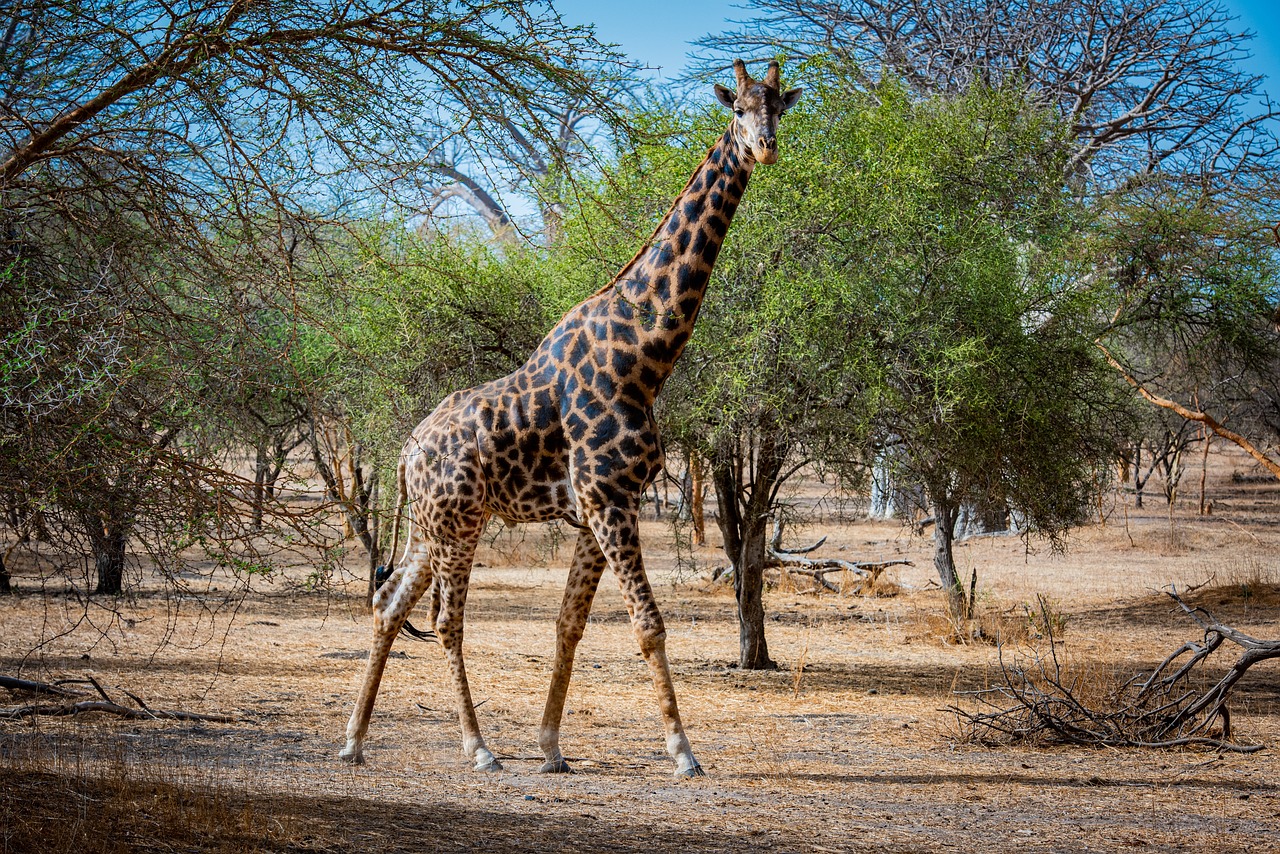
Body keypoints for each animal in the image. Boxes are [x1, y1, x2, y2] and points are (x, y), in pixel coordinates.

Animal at [340, 61, 798, 783]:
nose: (766, 147)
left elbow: (569, 625)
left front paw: (552, 745)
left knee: (390, 606)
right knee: (446, 621)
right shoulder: (609, 500)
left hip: (425, 524)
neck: (643, 355)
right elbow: (648, 625)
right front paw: (683, 752)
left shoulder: (598, 510)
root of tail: (408, 451)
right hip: (460, 521)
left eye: (779, 105)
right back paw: (479, 748)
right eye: (738, 110)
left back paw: (354, 739)